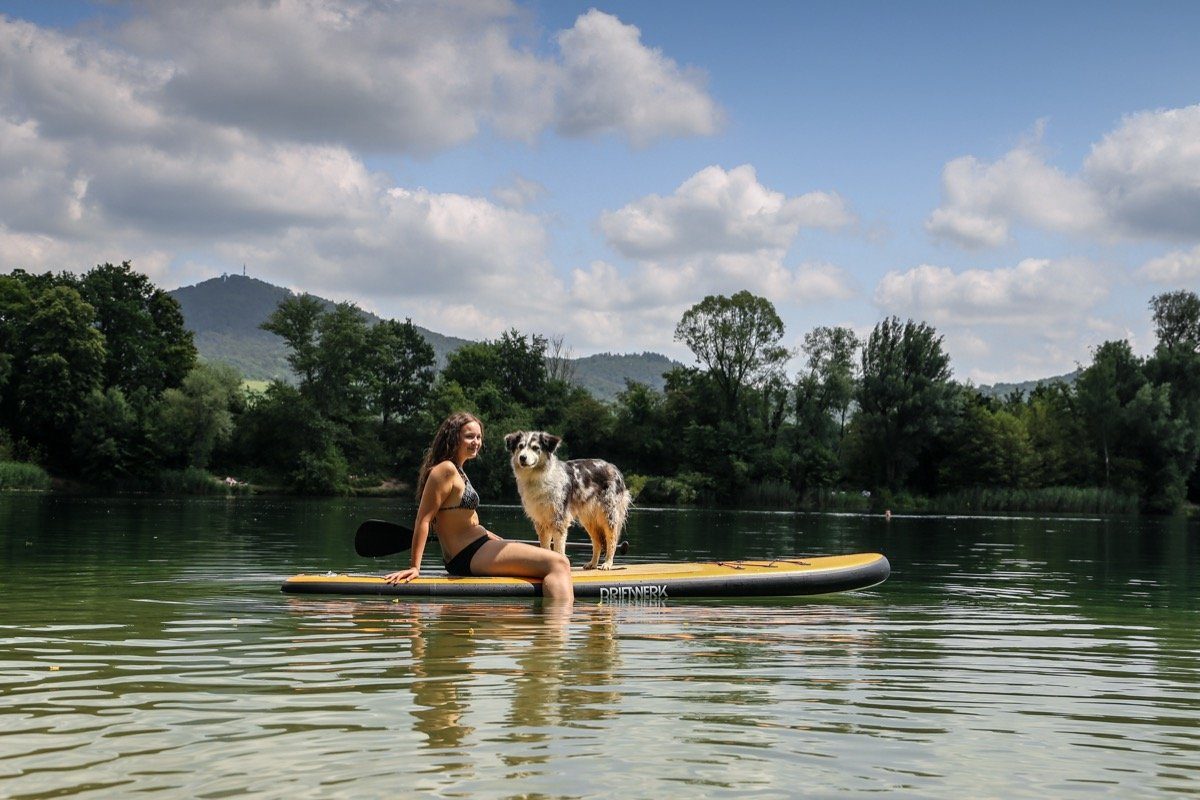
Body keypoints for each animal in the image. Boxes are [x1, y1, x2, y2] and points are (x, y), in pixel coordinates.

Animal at [504, 431, 633, 568]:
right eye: (520, 446)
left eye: (535, 448)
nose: (522, 457)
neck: (537, 477)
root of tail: (614, 468)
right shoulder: (541, 521)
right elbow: (545, 547)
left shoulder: (559, 520)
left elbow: (559, 548)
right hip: (588, 519)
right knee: (597, 542)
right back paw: (592, 563)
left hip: (608, 514)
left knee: (611, 540)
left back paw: (608, 563)